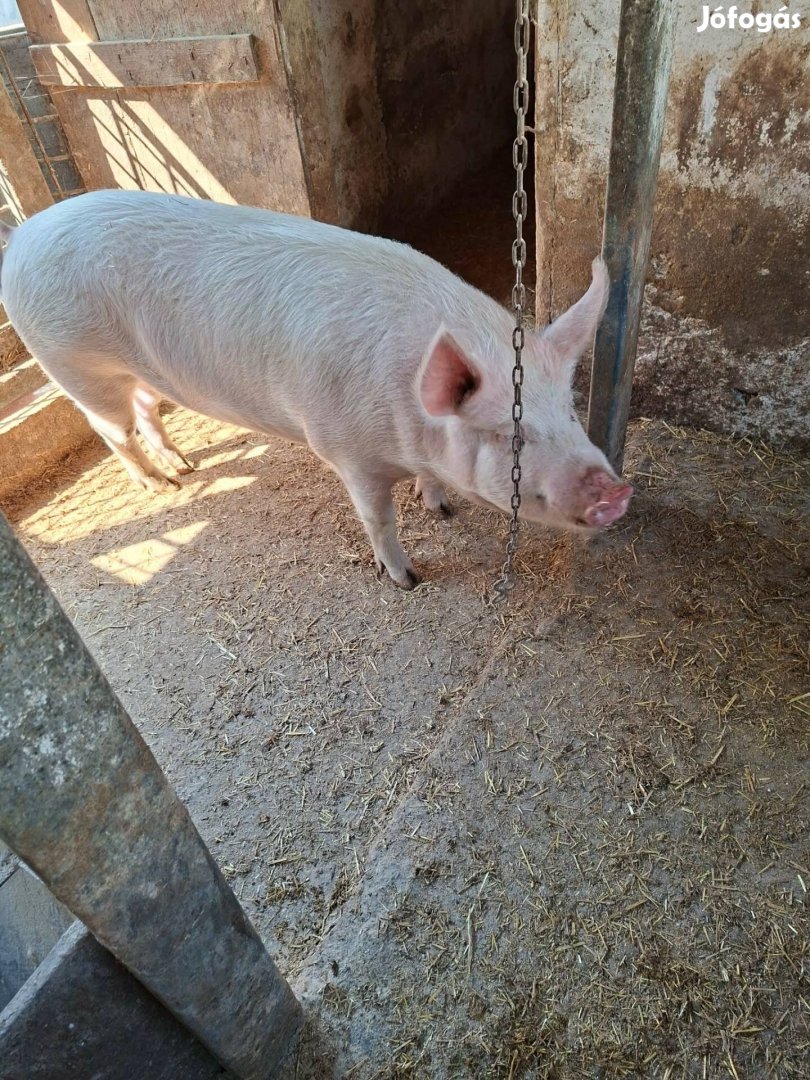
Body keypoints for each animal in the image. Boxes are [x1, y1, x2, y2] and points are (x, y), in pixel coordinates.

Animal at [0, 190, 632, 588]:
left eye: (570, 413)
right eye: (509, 436)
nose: (618, 490)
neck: (406, 415)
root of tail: (23, 233)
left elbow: (429, 484)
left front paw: (443, 508)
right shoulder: (344, 450)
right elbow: (378, 520)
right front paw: (407, 580)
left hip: (141, 371)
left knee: (147, 406)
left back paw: (183, 464)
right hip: (73, 364)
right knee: (110, 429)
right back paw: (163, 486)